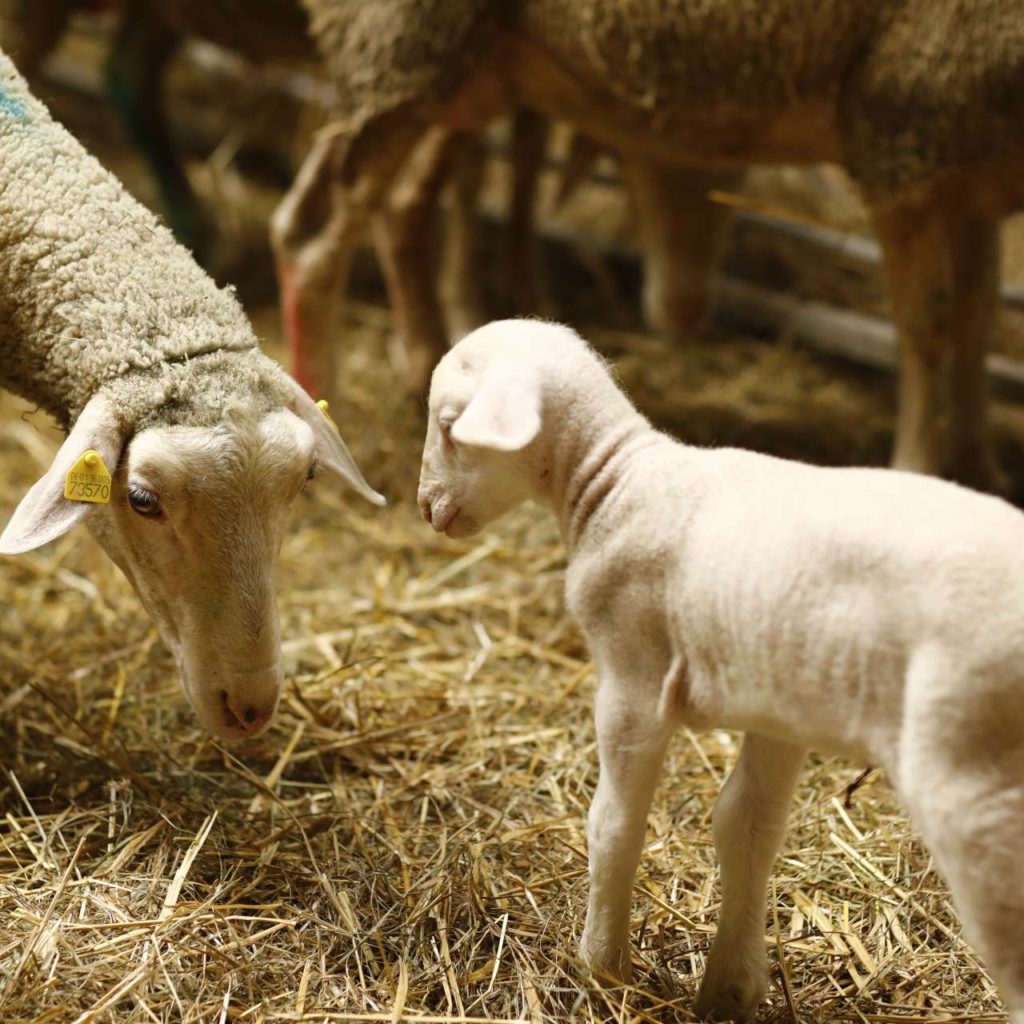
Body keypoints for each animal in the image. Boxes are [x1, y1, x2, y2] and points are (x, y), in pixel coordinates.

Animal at [415, 319, 1024, 1024]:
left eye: (450, 425)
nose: (425, 507)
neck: (613, 480)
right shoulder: (779, 708)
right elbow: (747, 828)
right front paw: (729, 988)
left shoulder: (631, 677)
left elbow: (613, 827)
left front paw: (602, 968)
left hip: (969, 769)